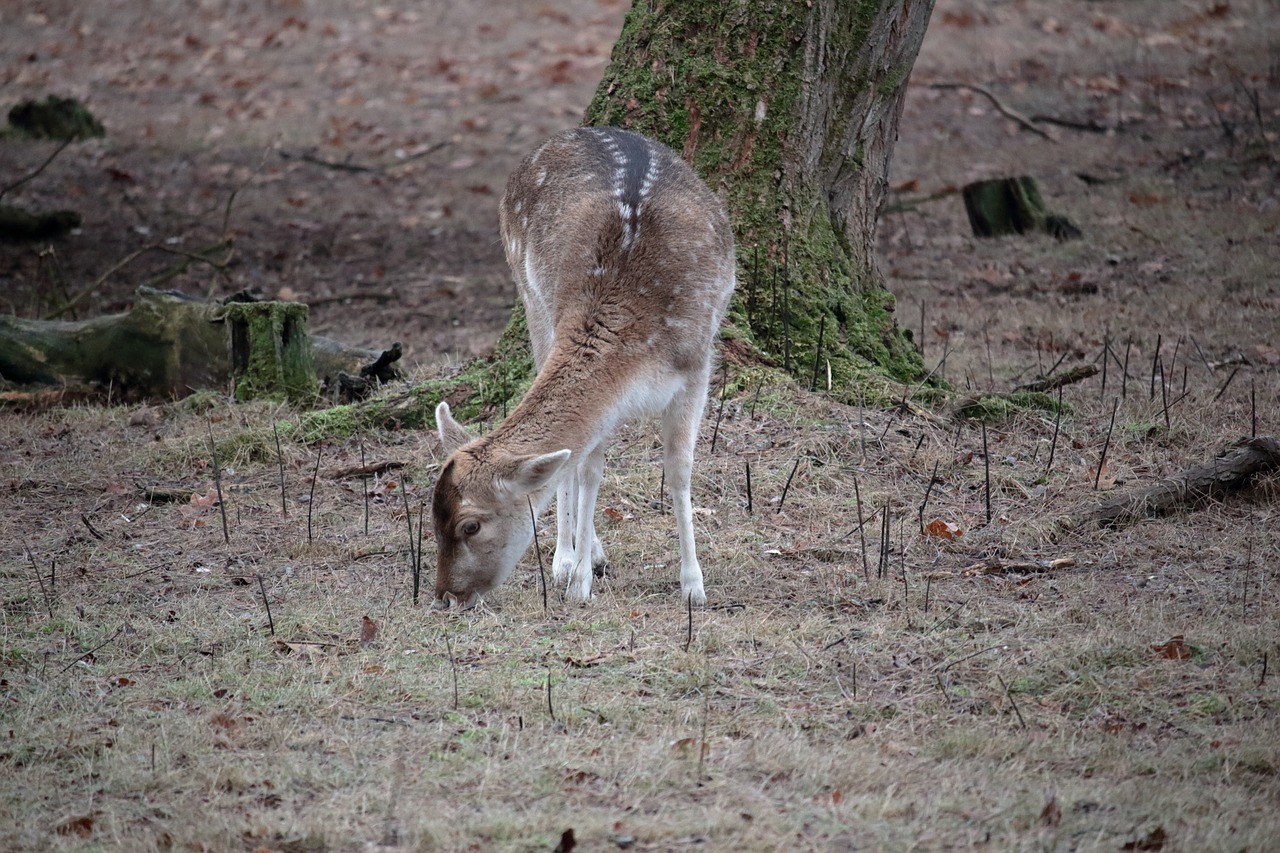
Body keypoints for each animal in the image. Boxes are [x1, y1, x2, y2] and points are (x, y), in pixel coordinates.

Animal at [430, 124, 737, 604]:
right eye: (431, 519)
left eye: (470, 525)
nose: (444, 595)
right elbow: (588, 469)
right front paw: (577, 577)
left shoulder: (697, 367)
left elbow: (679, 470)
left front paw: (693, 586)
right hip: (532, 299)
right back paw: (569, 558)